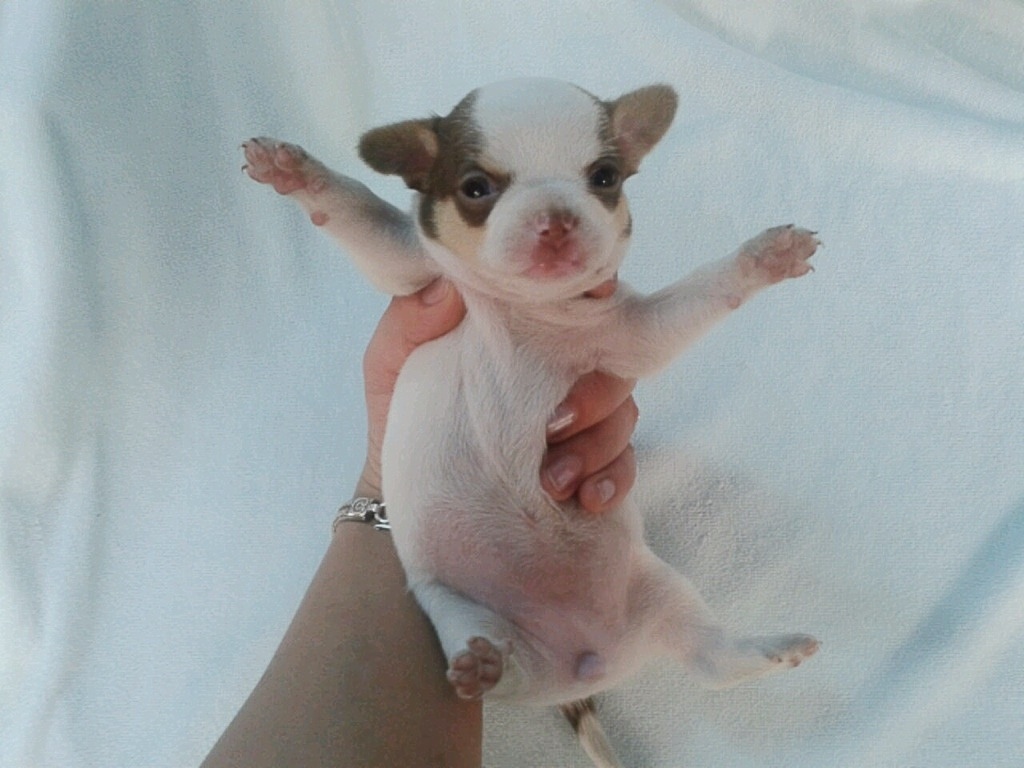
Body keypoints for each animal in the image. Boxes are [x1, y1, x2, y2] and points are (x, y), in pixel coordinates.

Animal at [243, 78, 820, 767]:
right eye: (475, 188)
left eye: (604, 178)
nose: (557, 219)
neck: (524, 308)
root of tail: (589, 668)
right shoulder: (413, 276)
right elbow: (360, 214)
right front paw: (295, 171)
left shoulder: (631, 334)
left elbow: (705, 290)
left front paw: (764, 258)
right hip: (455, 610)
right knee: (502, 665)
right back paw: (484, 666)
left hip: (659, 590)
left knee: (711, 661)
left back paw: (770, 649)